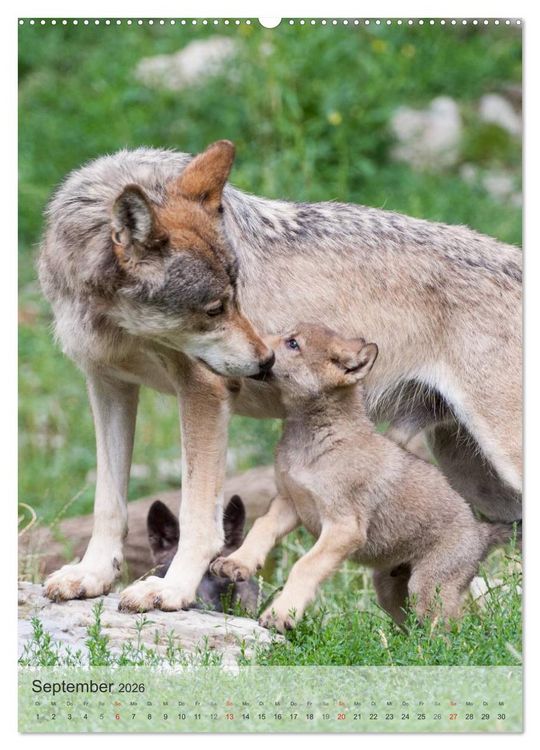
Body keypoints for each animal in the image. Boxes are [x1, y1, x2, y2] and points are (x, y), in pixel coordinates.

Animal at [211, 324, 515, 632]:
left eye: (293, 343)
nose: (253, 345)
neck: (317, 441)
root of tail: (482, 532)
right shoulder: (289, 503)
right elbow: (261, 529)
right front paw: (237, 563)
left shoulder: (343, 527)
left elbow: (305, 565)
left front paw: (280, 614)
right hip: (390, 591)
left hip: (428, 591)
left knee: (454, 631)